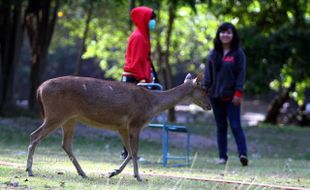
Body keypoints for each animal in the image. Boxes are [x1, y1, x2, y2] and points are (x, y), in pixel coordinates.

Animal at [26, 72, 211, 181]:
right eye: (204, 88)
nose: (210, 106)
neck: (152, 103)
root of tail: (39, 89)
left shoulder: (122, 126)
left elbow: (129, 152)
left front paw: (113, 172)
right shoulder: (136, 122)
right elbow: (135, 152)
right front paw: (138, 176)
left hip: (69, 119)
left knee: (65, 144)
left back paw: (83, 173)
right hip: (55, 114)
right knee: (34, 135)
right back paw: (29, 170)